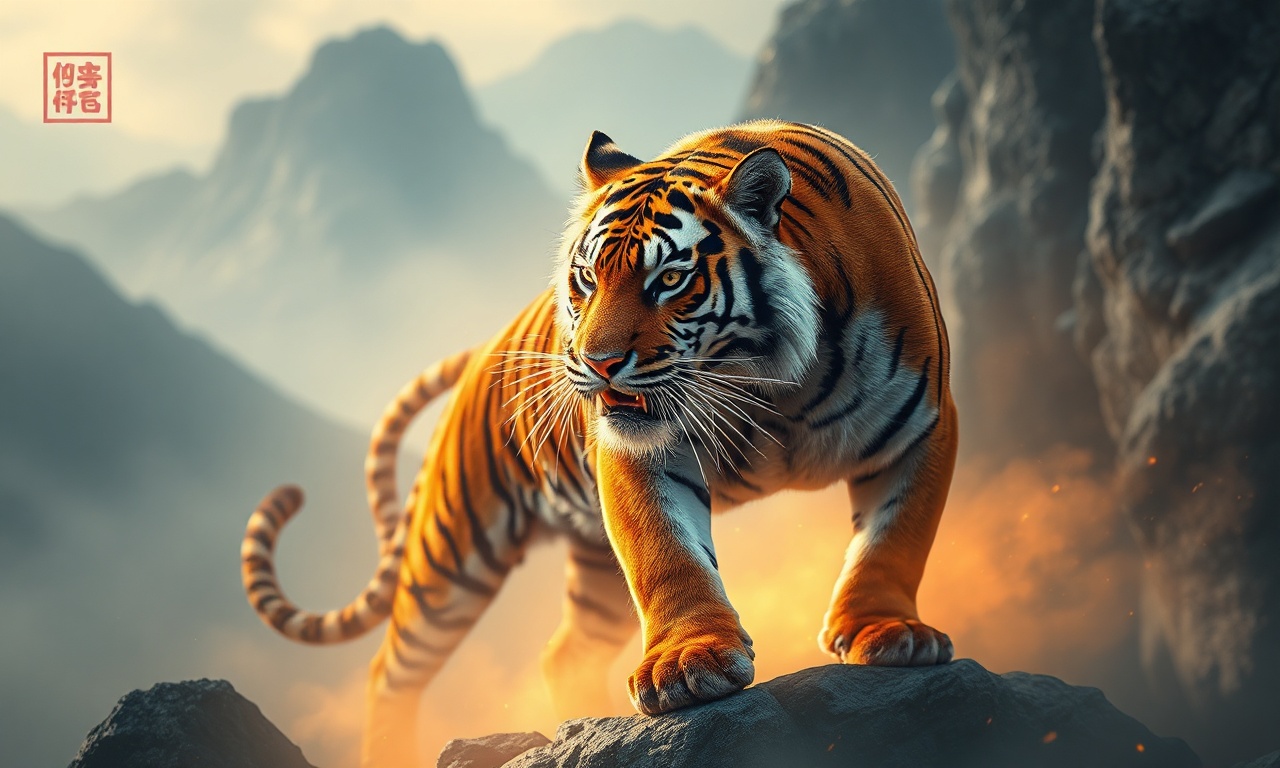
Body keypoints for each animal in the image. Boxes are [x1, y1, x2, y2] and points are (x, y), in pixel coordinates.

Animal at [241, 119, 958, 768]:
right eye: (585, 277)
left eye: (668, 281)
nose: (596, 362)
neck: (774, 386)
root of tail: (484, 351)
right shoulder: (641, 451)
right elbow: (666, 552)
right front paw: (688, 665)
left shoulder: (924, 423)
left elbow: (895, 540)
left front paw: (885, 631)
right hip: (452, 553)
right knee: (390, 672)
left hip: (588, 572)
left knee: (564, 653)